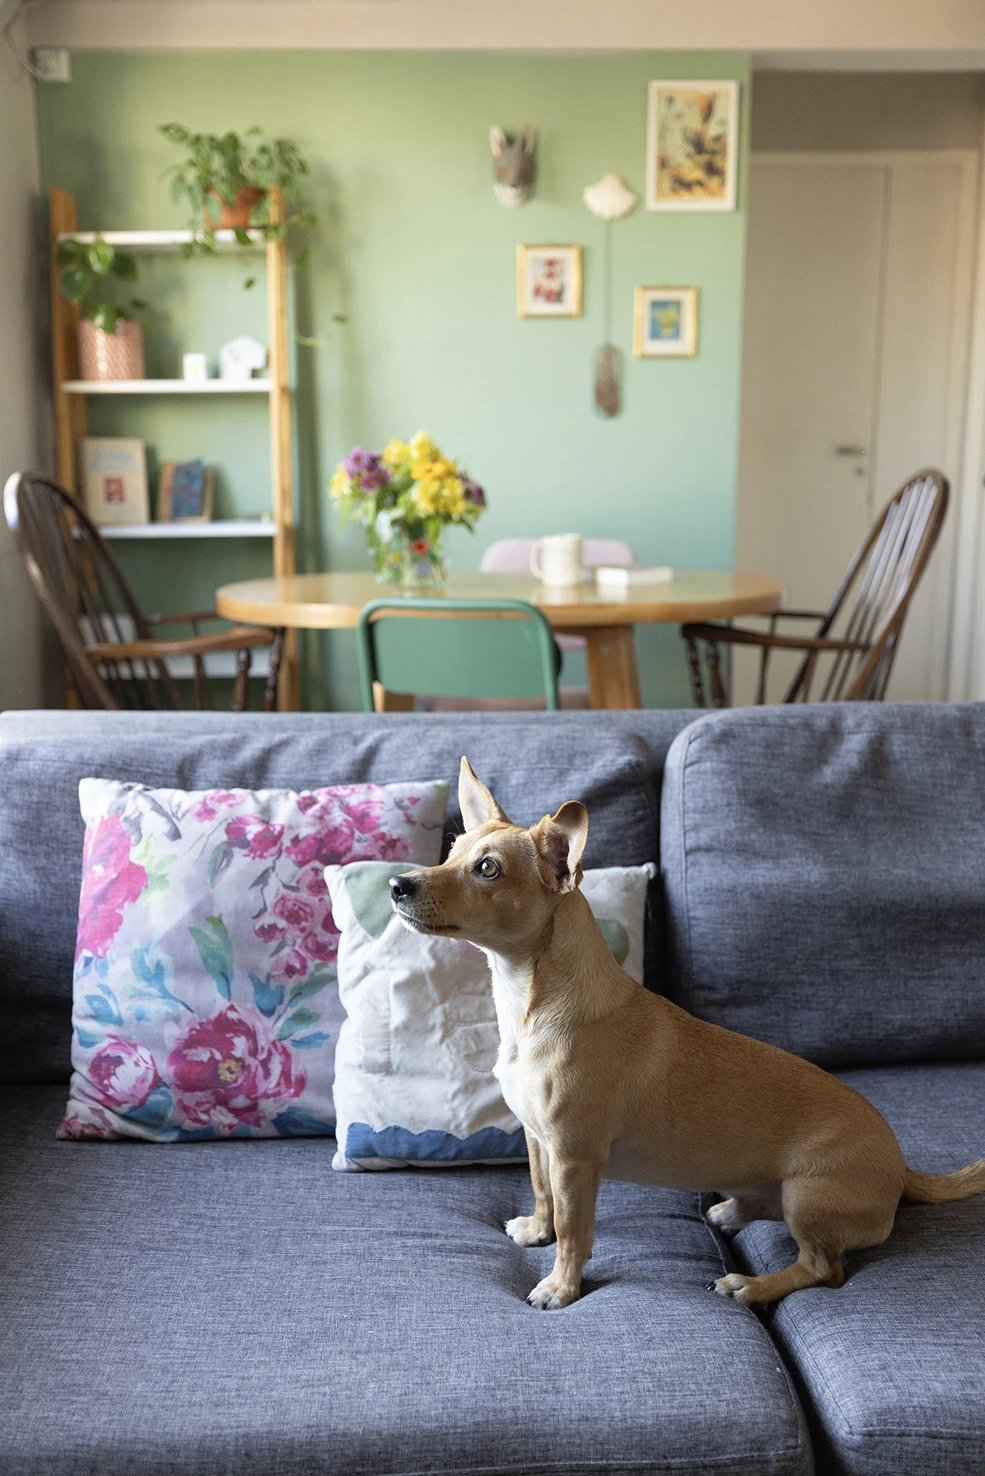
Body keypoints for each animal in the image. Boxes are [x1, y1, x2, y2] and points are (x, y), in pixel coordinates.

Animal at [386, 755, 985, 1310]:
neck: (526, 1000)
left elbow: (575, 1232)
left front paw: (560, 1286)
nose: (397, 883)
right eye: (451, 850)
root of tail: (902, 1167)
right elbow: (542, 1194)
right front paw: (538, 1230)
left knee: (823, 1268)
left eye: (487, 869)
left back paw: (751, 1284)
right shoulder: (539, 1143)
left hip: (808, 1195)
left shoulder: (575, 1158)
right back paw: (730, 1211)